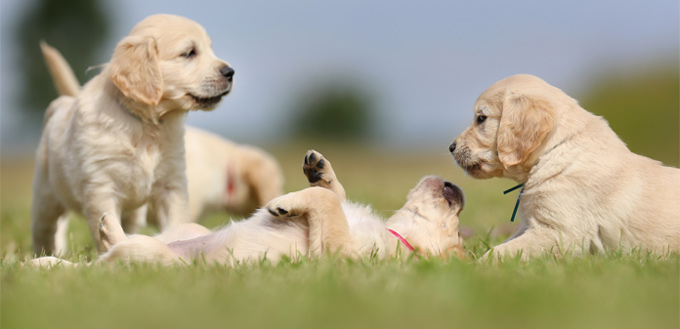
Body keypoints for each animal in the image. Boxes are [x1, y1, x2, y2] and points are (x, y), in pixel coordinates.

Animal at [31, 149, 468, 266]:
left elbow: (327, 202)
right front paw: (319, 170)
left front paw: (282, 204)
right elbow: (335, 194)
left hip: (156, 259)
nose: (458, 189)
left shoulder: (338, 257)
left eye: (455, 240)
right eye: (456, 223)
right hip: (188, 228)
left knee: (103, 263)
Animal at [33, 14, 234, 255]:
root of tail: (64, 103)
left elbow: (176, 221)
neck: (147, 126)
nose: (230, 72)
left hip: (134, 213)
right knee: (43, 230)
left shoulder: (172, 184)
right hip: (46, 196)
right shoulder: (101, 188)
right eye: (189, 52)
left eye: (209, 48)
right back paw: (43, 253)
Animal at [448, 74, 676, 258]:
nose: (451, 147)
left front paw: (477, 268)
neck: (554, 151)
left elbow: (500, 252)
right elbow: (504, 244)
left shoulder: (560, 233)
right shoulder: (531, 224)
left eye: (481, 118)